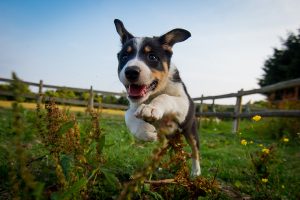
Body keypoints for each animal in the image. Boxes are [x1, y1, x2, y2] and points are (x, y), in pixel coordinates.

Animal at [113, 18, 200, 175]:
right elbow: (128, 115)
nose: (131, 71)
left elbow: (165, 96)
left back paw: (195, 172)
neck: (154, 92)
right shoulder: (134, 104)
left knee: (195, 150)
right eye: (124, 57)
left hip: (190, 130)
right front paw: (145, 131)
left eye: (152, 57)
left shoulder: (184, 103)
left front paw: (152, 108)